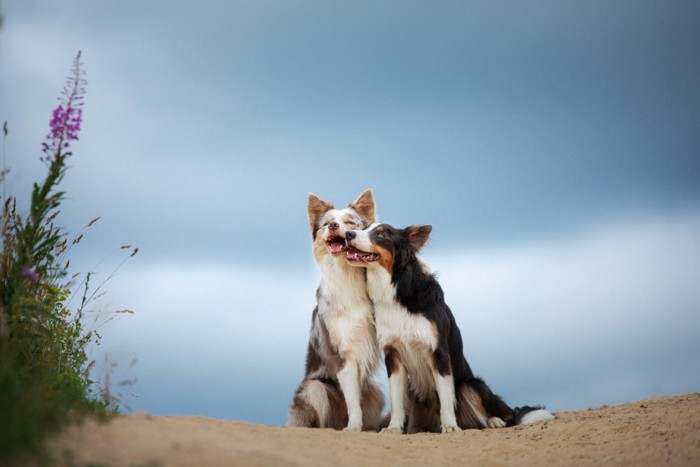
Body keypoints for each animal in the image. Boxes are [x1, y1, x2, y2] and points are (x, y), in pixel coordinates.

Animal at [284, 189, 386, 432]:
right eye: (327, 222)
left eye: (350, 222)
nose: (334, 226)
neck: (347, 276)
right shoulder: (342, 352)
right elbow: (352, 399)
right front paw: (354, 427)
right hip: (315, 389)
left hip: (375, 391)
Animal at [344, 223, 552, 436]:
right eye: (363, 228)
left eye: (381, 234)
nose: (348, 234)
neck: (398, 291)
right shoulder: (393, 355)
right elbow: (396, 400)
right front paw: (393, 428)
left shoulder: (439, 352)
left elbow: (445, 397)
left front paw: (450, 426)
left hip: (470, 385)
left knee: (503, 414)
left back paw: (496, 421)